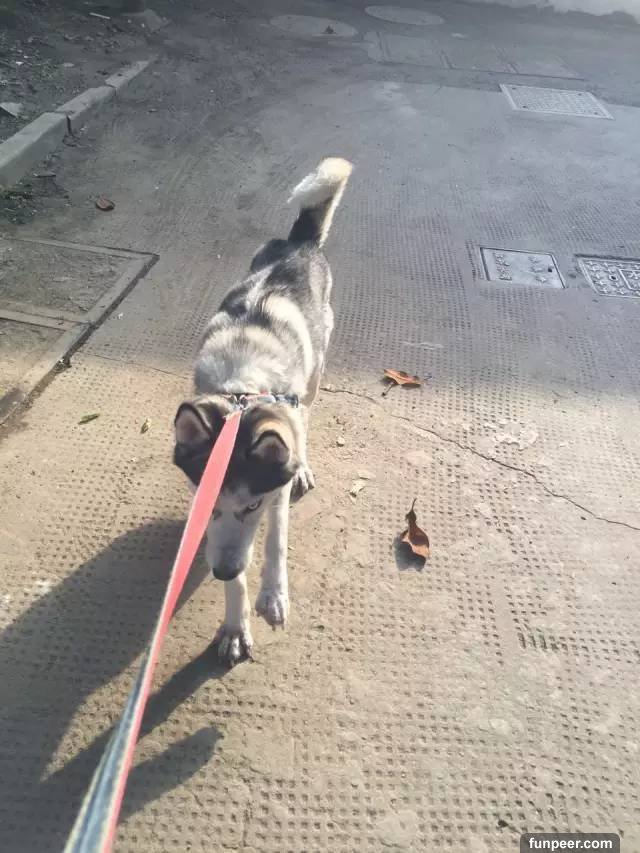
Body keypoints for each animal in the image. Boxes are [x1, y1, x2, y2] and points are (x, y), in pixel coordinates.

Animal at [173, 157, 353, 665]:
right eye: (207, 502)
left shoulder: (273, 487)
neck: (241, 390)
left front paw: (272, 594)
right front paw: (235, 625)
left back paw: (304, 464)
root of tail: (297, 242)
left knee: (305, 422)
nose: (220, 571)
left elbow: (275, 539)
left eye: (252, 504)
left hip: (314, 374)